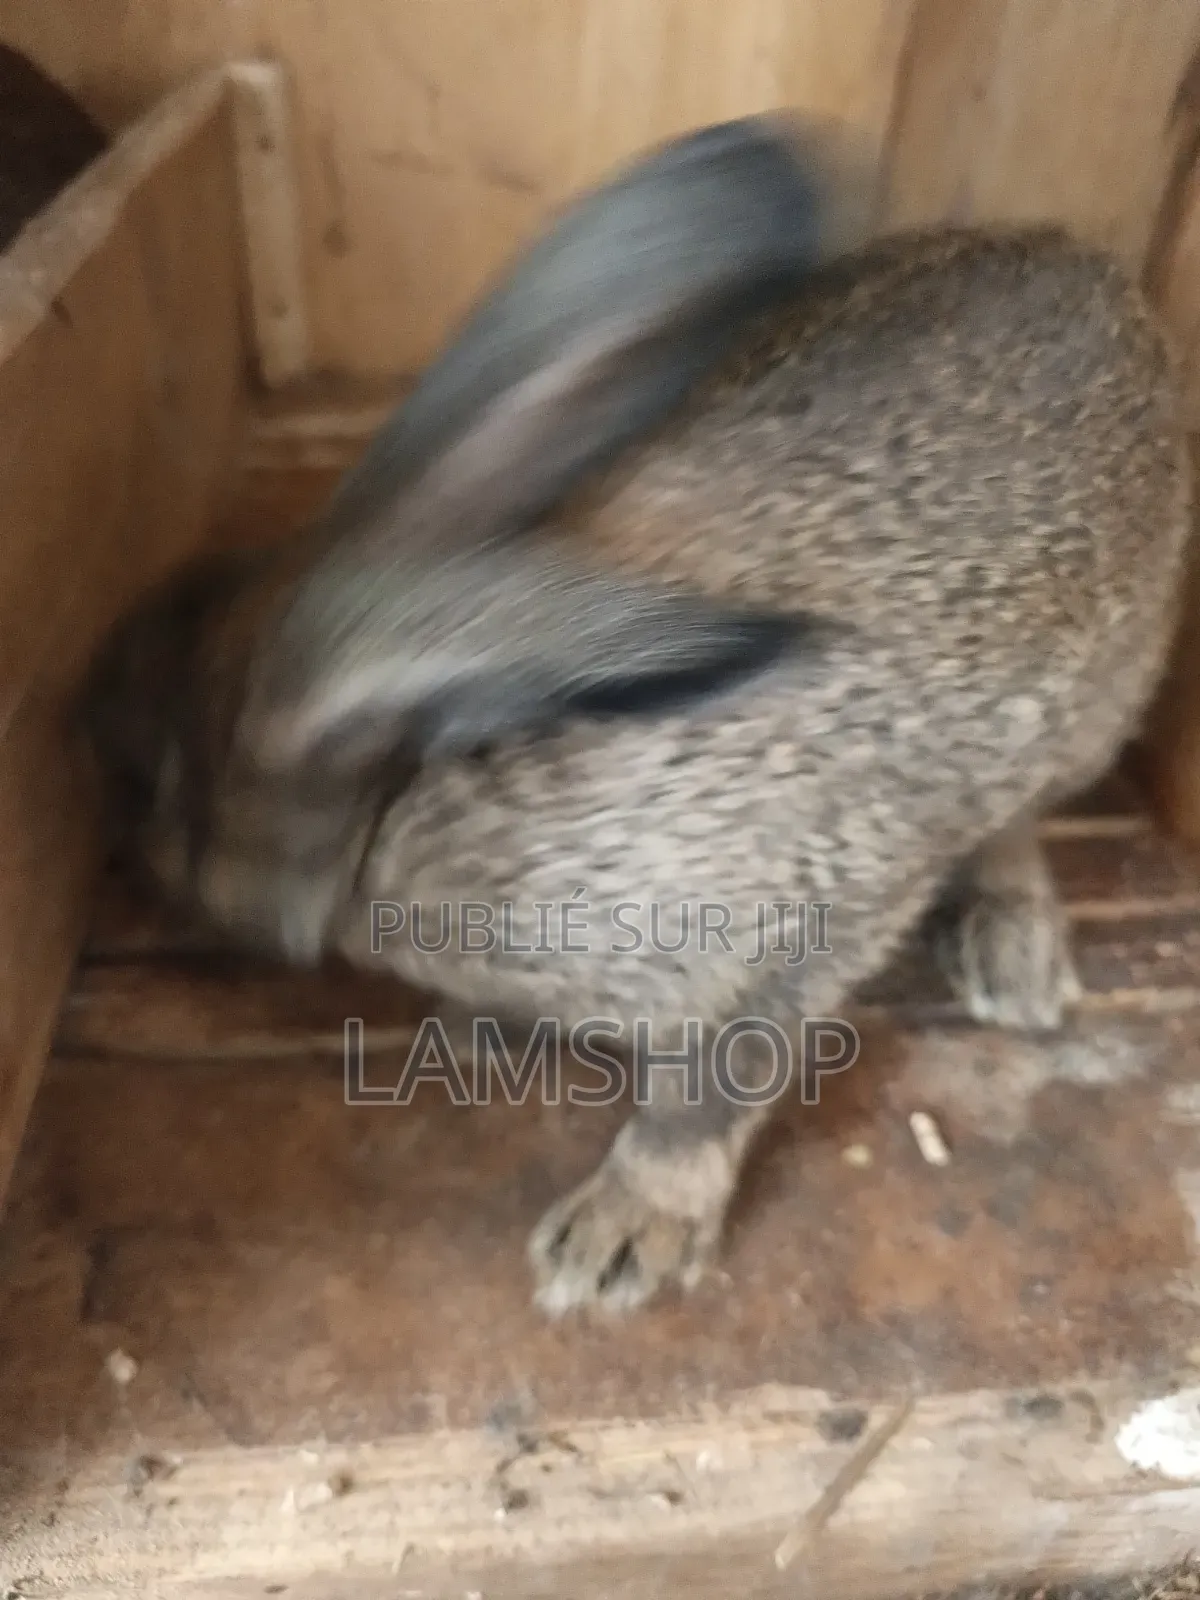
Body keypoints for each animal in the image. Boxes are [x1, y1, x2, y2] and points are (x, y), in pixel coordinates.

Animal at [79, 112, 1193, 1317]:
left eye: (166, 779)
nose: (84, 698)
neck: (425, 772)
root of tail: (1102, 274)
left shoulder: (795, 933)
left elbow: (710, 1088)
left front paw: (619, 1237)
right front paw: (477, 1037)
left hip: (1088, 710)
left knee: (1016, 822)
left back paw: (1014, 955)